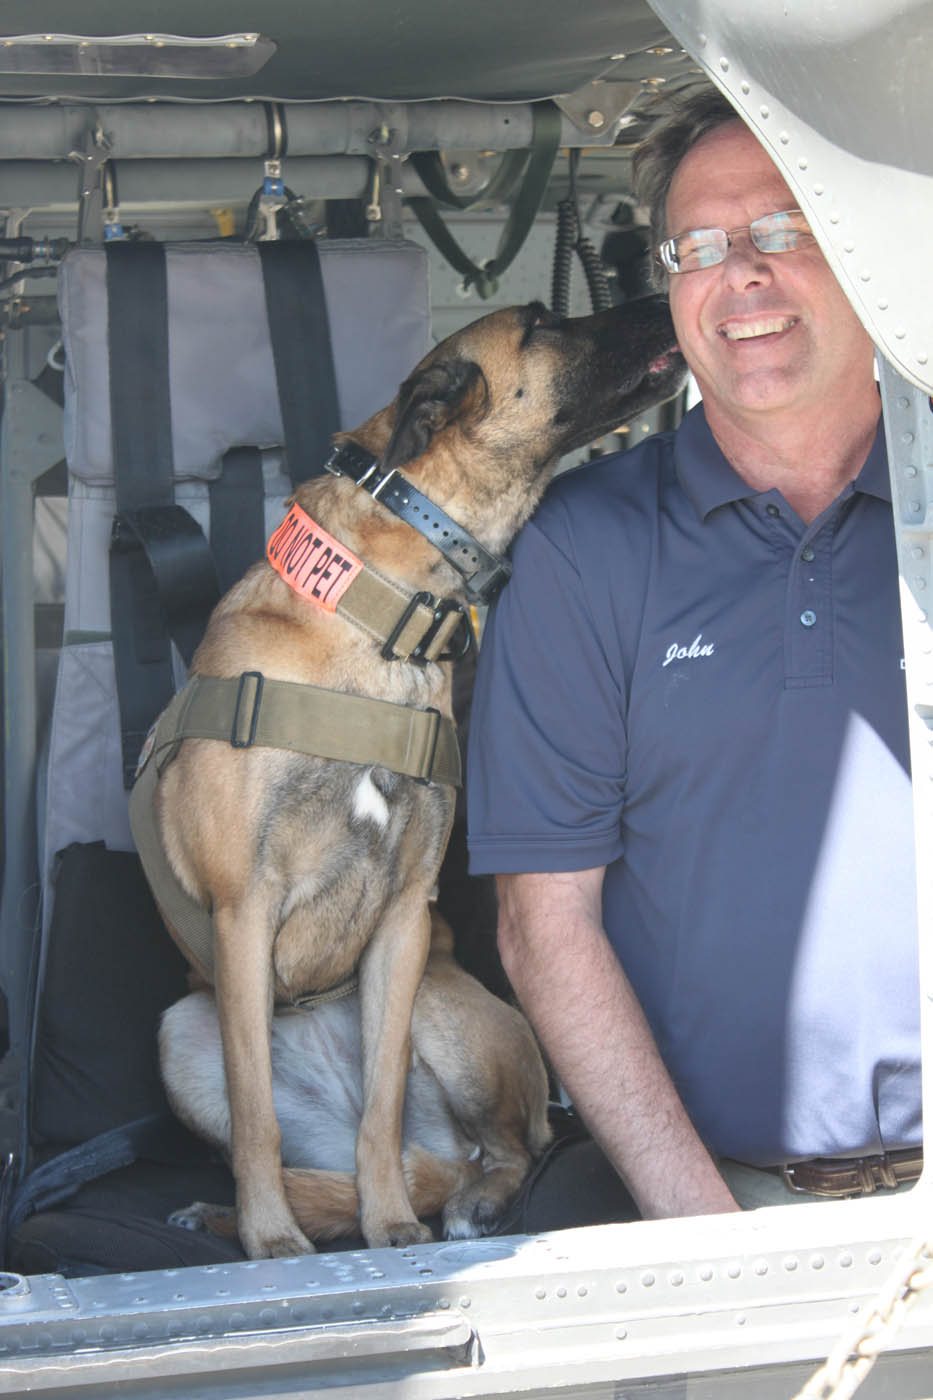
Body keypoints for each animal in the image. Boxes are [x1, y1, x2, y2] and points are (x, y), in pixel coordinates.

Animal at [143, 295, 683, 1260]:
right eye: (542, 322)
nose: (664, 292)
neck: (379, 621)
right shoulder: (242, 913)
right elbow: (255, 1115)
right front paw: (269, 1237)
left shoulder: (403, 922)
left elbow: (384, 1107)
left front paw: (389, 1221)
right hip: (182, 1030)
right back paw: (246, 1213)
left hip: (441, 1002)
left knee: (504, 1149)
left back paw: (463, 1202)